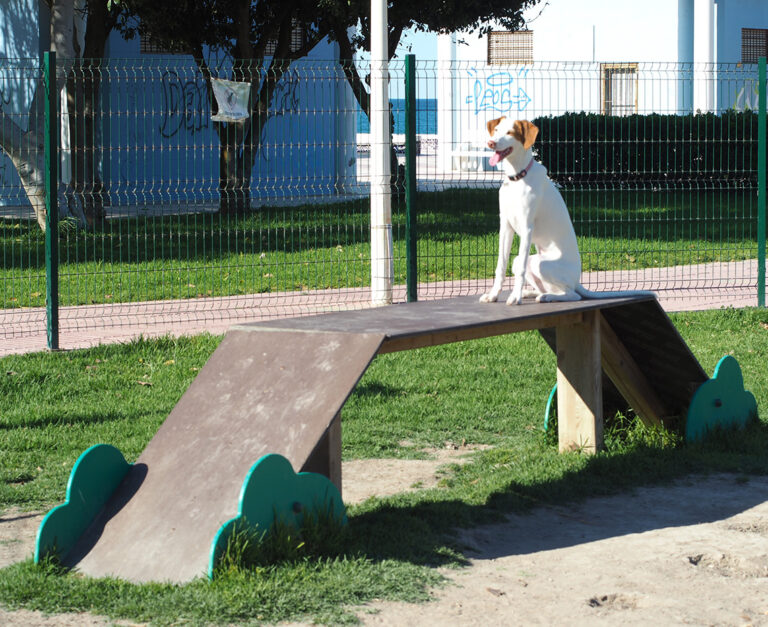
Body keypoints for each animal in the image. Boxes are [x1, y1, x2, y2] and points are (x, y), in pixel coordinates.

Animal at [480, 118, 656, 306]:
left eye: (510, 133)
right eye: (496, 130)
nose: (491, 143)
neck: (518, 177)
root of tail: (577, 281)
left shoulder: (527, 228)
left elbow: (519, 271)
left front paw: (515, 297)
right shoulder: (506, 226)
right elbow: (500, 265)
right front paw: (493, 295)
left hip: (543, 265)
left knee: (573, 294)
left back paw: (546, 296)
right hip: (527, 260)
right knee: (545, 285)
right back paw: (533, 293)